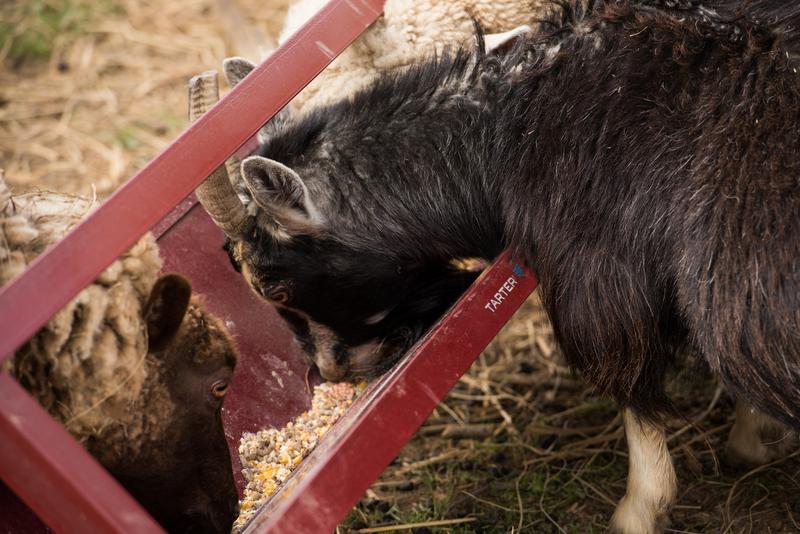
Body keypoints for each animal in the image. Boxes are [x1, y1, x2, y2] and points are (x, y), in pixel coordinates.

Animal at [194, 1, 800, 531]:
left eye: (273, 287)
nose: (332, 371)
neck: (513, 126)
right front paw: (755, 436)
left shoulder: (595, 270)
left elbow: (627, 379)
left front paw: (639, 509)